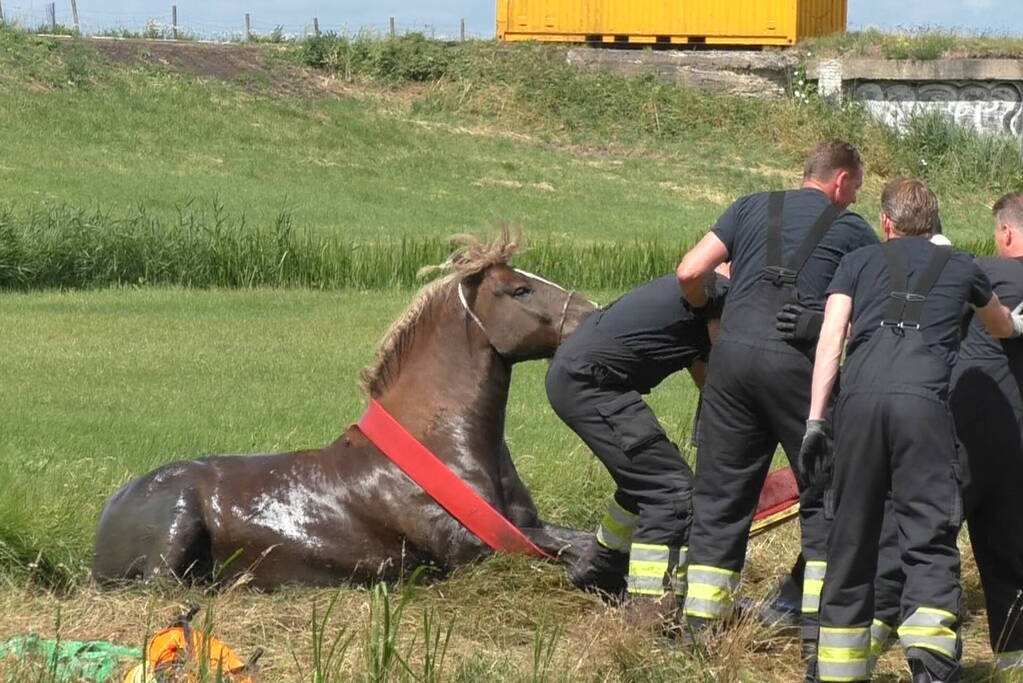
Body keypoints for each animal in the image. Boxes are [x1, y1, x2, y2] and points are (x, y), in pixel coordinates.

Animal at [92, 233, 598, 589]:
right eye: (520, 290)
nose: (594, 313)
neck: (441, 444)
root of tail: (110, 507)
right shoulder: (473, 552)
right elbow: (573, 554)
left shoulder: (526, 528)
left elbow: (582, 540)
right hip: (175, 529)